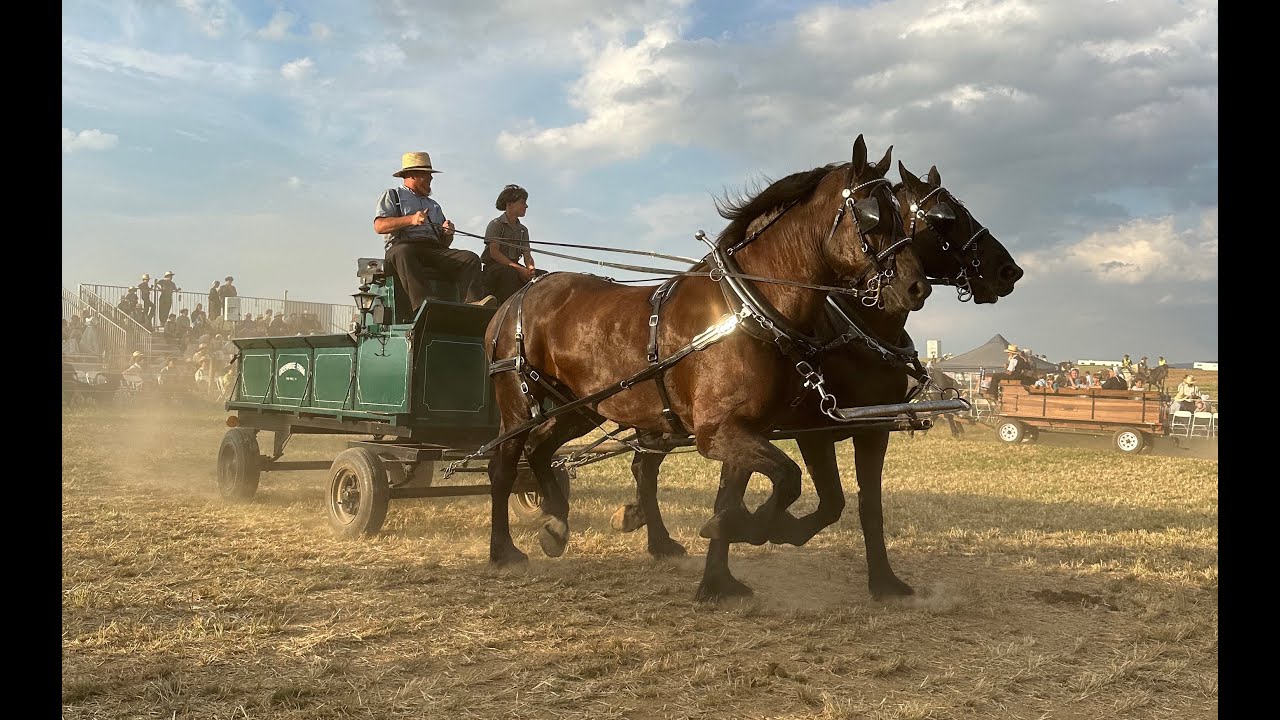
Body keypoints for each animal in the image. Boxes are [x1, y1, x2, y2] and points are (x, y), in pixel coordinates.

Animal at [483, 135, 933, 601]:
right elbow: (787, 478)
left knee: (542, 451)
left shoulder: (747, 428)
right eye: (871, 215)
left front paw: (722, 572)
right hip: (518, 404)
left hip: (580, 408)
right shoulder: (720, 431)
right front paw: (747, 531)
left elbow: (738, 494)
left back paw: (557, 523)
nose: (917, 287)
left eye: (906, 219)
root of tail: (517, 297)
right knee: (504, 465)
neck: (750, 307)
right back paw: (504, 551)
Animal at [611, 161, 1024, 601]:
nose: (1009, 270)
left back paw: (652, 533)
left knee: (643, 465)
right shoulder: (810, 430)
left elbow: (867, 505)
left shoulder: (873, 428)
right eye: (946, 218)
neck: (851, 334)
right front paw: (755, 539)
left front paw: (884, 581)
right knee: (643, 466)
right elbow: (828, 501)